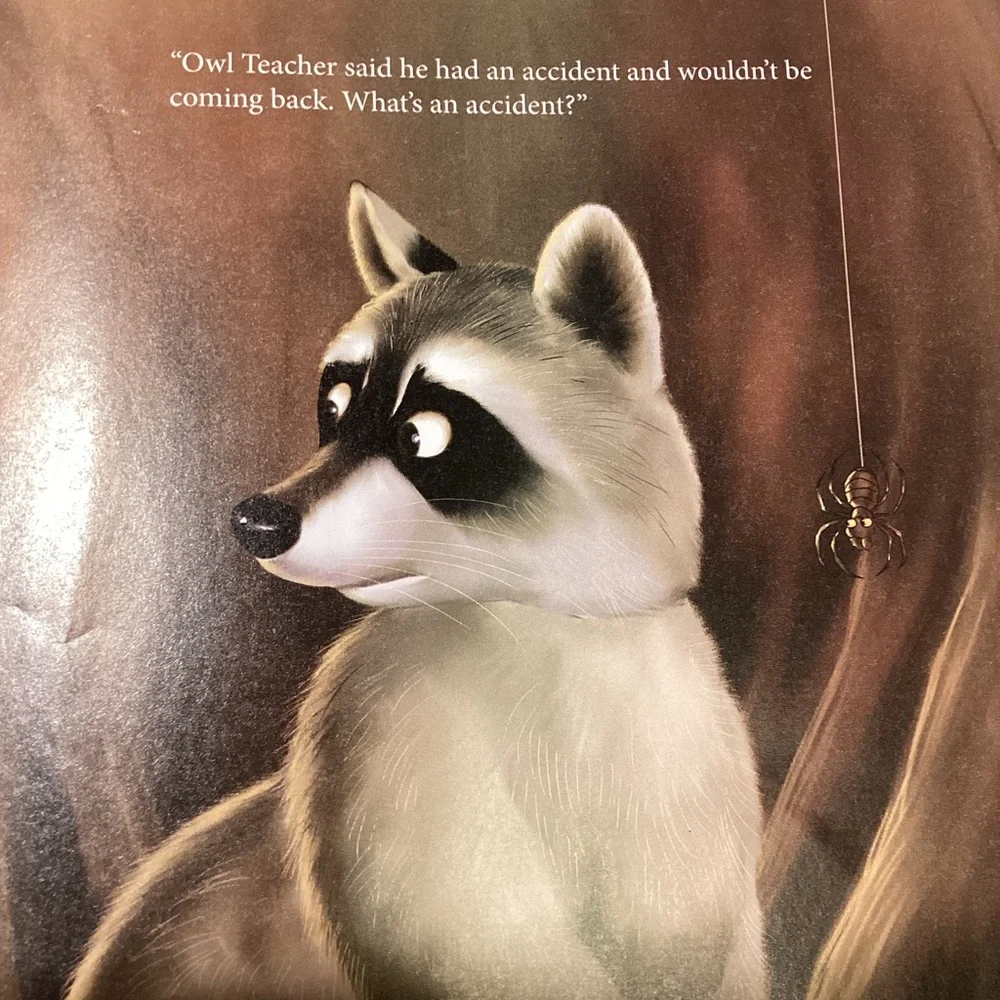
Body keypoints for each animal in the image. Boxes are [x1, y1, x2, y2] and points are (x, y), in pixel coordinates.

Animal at [67, 184, 766, 1000]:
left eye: (425, 436)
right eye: (334, 410)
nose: (258, 521)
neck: (535, 615)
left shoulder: (682, 737)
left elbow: (687, 932)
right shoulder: (381, 744)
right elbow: (466, 944)